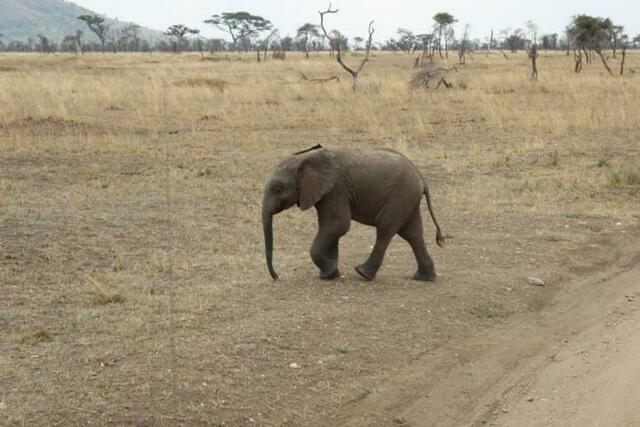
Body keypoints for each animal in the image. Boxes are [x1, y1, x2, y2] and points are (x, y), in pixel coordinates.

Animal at [262, 145, 445, 282]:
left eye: (277, 188)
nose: (277, 276)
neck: (305, 157)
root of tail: (422, 178)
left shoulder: (337, 189)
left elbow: (338, 225)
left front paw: (330, 272)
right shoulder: (327, 193)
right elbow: (330, 227)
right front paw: (331, 274)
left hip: (400, 196)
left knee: (385, 229)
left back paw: (363, 273)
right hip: (408, 198)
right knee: (413, 233)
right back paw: (424, 278)